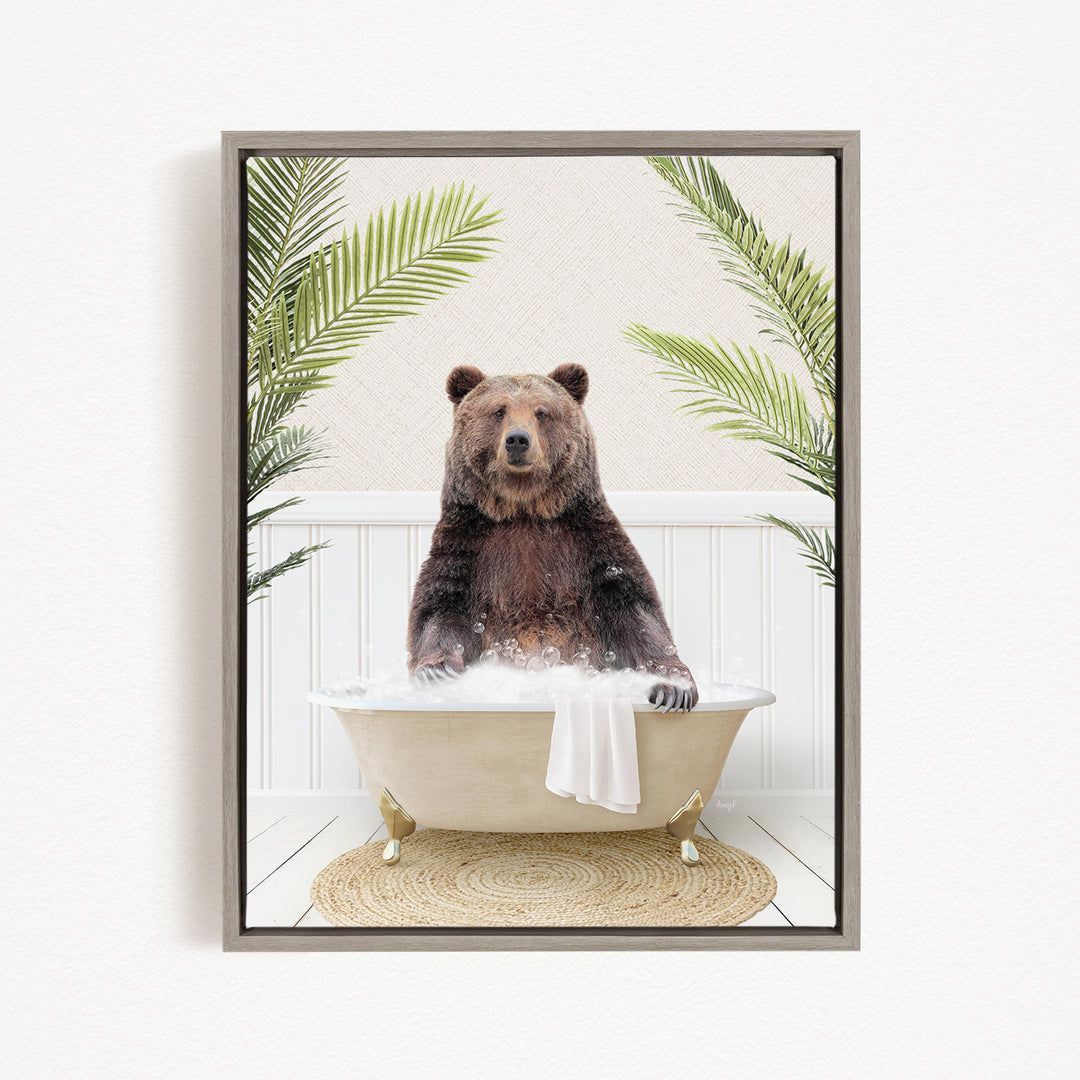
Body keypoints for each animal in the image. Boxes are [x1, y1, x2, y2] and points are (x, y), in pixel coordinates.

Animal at [406, 362, 698, 712]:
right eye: (499, 410)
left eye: (542, 412)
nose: (518, 439)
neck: (525, 508)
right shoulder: (468, 544)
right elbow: (440, 608)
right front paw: (436, 671)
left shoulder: (588, 542)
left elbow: (635, 609)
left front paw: (673, 688)